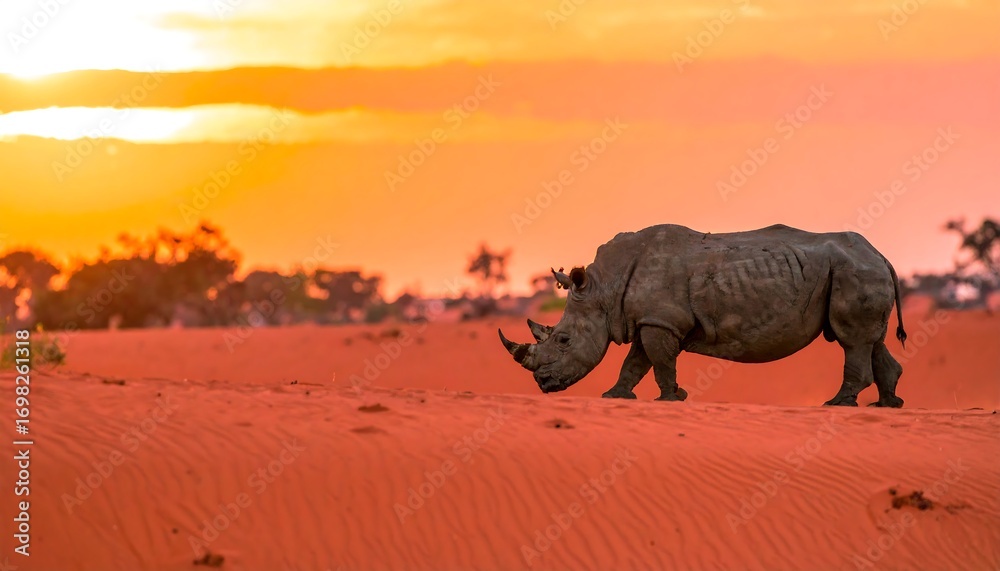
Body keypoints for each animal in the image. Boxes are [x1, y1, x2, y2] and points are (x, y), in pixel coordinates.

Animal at [499, 224, 908, 407]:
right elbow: (636, 362)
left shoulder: (660, 321)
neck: (604, 288)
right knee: (872, 340)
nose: (543, 384)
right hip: (860, 271)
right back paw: (886, 406)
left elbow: (658, 361)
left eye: (563, 340)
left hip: (855, 272)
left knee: (853, 341)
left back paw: (839, 404)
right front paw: (615, 397)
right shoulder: (651, 319)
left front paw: (671, 399)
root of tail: (881, 255)